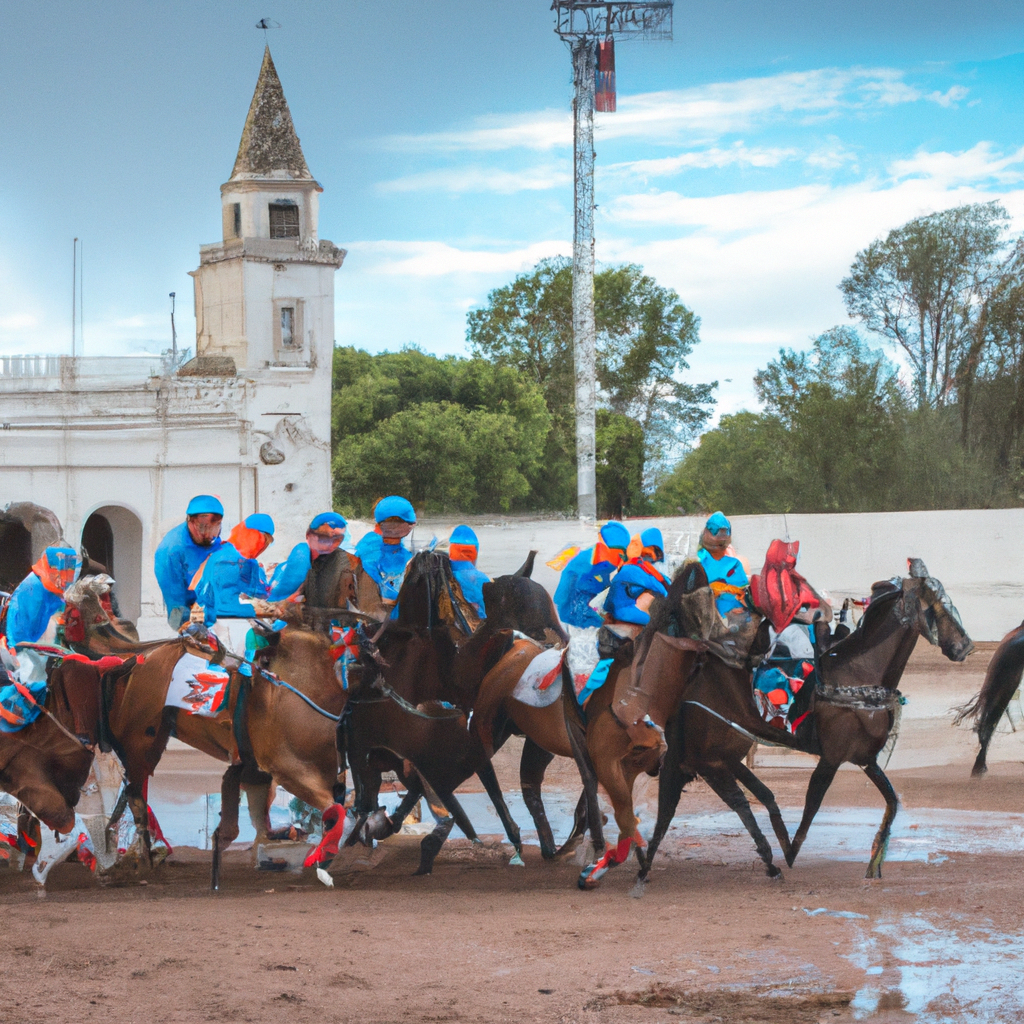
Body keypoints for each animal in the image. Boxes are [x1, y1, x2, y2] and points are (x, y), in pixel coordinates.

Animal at [638, 557, 974, 884]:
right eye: (934, 606)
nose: (965, 646)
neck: (857, 677)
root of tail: (696, 669)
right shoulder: (832, 758)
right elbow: (811, 809)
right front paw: (789, 850)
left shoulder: (866, 759)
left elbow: (891, 801)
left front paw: (875, 863)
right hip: (702, 755)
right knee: (684, 803)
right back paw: (647, 865)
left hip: (725, 750)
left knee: (746, 796)